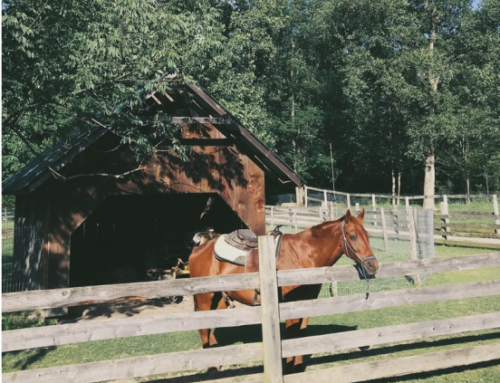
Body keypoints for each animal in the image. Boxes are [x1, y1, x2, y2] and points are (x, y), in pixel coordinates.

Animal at [188, 210, 378, 376]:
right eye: (352, 236)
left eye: (367, 235)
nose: (373, 266)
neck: (302, 255)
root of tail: (197, 249)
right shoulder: (289, 305)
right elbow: (292, 336)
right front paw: (288, 368)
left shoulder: (307, 302)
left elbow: (301, 334)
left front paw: (298, 366)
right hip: (205, 298)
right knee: (203, 328)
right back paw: (211, 368)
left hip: (219, 299)